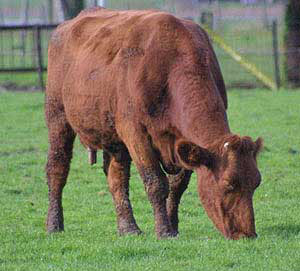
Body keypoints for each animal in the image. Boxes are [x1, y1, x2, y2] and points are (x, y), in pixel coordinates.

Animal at [45, 6, 262, 240]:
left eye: (256, 182)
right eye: (228, 185)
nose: (247, 234)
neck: (173, 63)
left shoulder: (184, 144)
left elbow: (177, 186)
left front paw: (173, 225)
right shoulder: (136, 134)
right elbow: (156, 182)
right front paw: (164, 230)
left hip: (114, 138)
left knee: (117, 178)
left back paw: (128, 228)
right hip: (57, 117)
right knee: (57, 168)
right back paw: (54, 225)